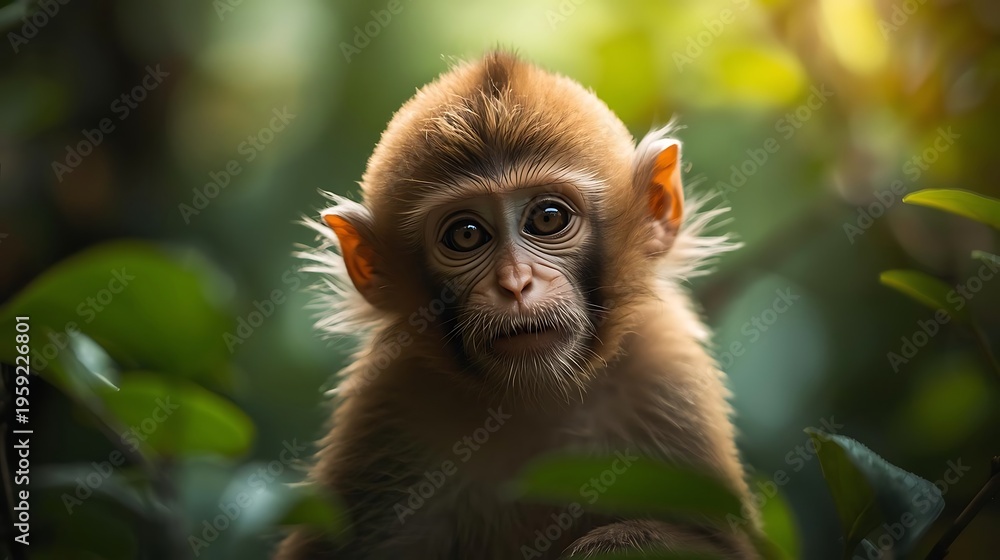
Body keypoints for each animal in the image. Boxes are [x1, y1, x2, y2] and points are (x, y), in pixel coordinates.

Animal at [276, 51, 759, 559]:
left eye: (547, 218)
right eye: (466, 235)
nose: (515, 284)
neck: (534, 398)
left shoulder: (666, 370)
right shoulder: (390, 398)